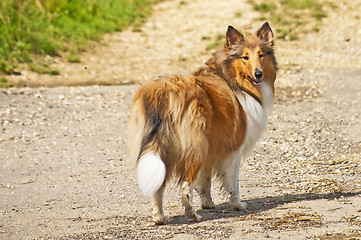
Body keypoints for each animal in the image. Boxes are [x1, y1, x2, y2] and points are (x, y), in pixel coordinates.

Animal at [128, 22, 278, 225]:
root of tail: (162, 92)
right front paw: (237, 204)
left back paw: (160, 217)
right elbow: (232, 182)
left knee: (158, 187)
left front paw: (208, 203)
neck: (230, 76)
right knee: (185, 185)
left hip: (163, 149)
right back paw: (193, 215)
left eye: (261, 55)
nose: (258, 74)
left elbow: (205, 180)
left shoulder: (211, 145)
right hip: (194, 147)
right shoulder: (233, 148)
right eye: (245, 57)